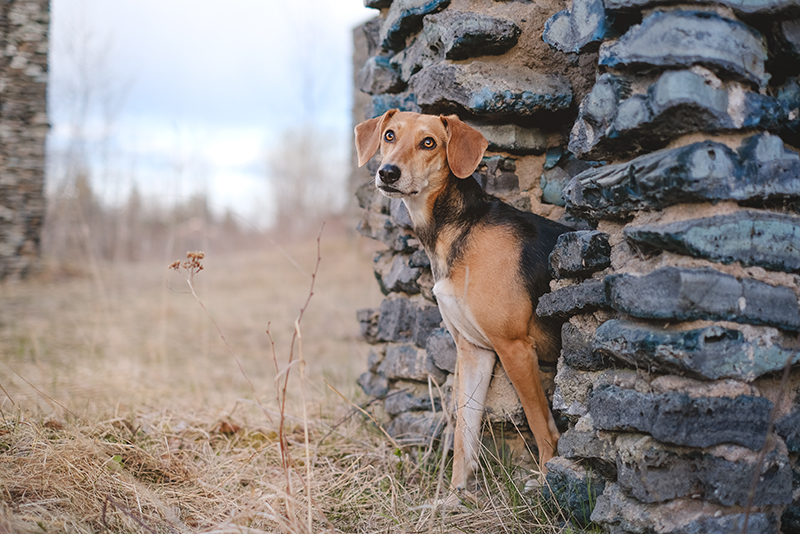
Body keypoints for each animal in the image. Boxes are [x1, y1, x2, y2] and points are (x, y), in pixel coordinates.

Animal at [356, 110, 568, 498]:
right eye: (389, 135)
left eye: (429, 143)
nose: (388, 173)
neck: (456, 228)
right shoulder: (473, 350)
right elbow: (463, 430)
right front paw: (455, 496)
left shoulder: (514, 346)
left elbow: (541, 425)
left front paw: (548, 490)